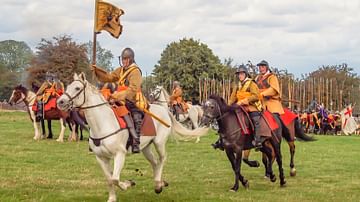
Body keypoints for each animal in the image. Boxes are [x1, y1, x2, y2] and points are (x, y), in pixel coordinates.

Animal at [56, 73, 208, 202]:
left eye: (77, 88)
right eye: (67, 87)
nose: (60, 102)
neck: (103, 123)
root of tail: (163, 110)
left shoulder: (120, 154)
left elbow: (115, 179)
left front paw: (128, 184)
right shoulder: (101, 158)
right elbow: (109, 179)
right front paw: (112, 198)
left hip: (159, 143)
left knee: (162, 159)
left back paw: (158, 184)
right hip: (145, 147)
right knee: (155, 162)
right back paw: (160, 182)